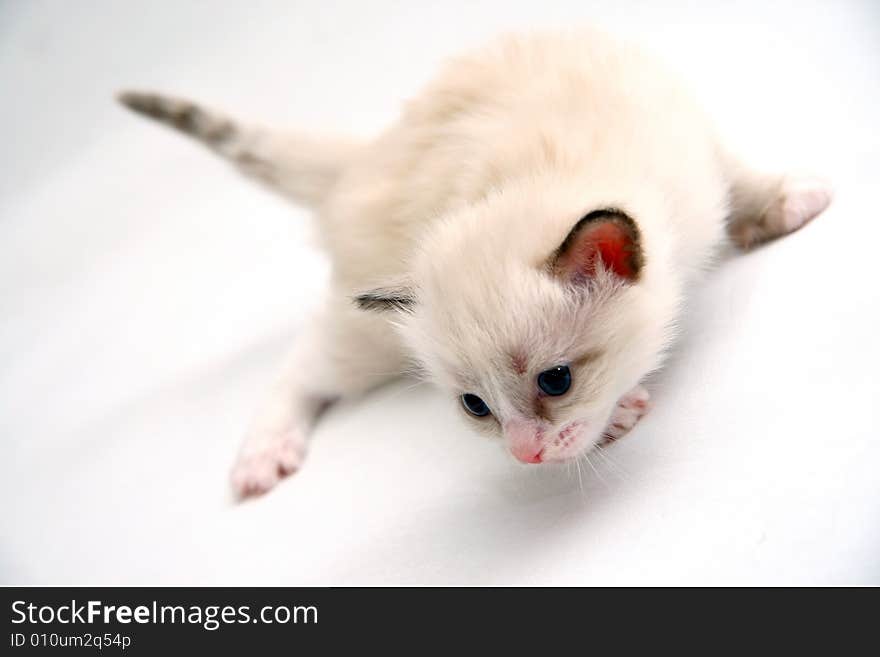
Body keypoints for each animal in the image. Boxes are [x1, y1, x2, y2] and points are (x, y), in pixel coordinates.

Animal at [118, 28, 832, 494]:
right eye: (475, 407)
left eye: (555, 381)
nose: (525, 456)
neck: (537, 173)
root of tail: (358, 164)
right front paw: (620, 414)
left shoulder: (691, 150)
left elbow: (737, 174)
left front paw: (786, 202)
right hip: (368, 329)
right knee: (302, 364)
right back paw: (262, 455)